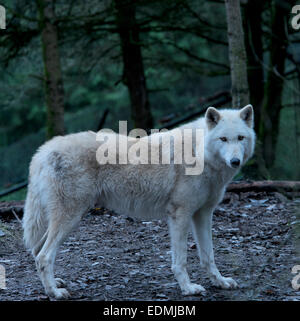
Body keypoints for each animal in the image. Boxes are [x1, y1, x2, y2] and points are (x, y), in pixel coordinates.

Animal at [22, 104, 255, 298]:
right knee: (43, 256)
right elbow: (180, 261)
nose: (235, 161)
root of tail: (42, 152)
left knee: (36, 251)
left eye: (240, 138)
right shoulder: (180, 214)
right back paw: (54, 292)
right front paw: (188, 288)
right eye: (223, 139)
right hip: (71, 218)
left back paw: (55, 283)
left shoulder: (203, 214)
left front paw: (220, 282)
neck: (200, 153)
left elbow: (209, 256)